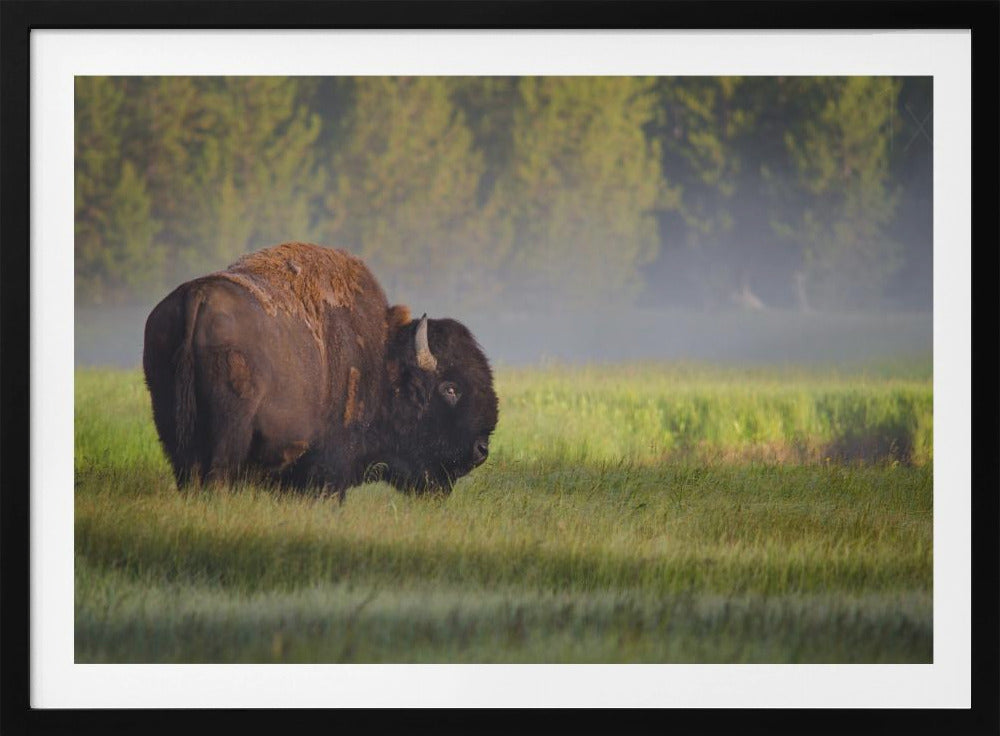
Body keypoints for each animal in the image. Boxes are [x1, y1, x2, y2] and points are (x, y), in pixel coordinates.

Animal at [142, 242, 498, 498]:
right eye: (450, 388)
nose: (481, 450)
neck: (381, 357)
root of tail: (197, 296)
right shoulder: (331, 465)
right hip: (229, 431)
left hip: (171, 423)